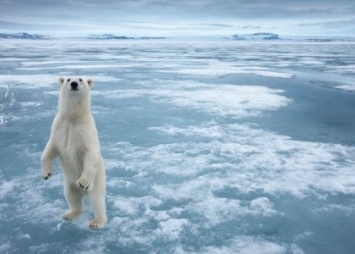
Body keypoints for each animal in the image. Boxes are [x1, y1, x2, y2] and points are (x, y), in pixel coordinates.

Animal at [40, 77, 107, 228]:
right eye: (68, 79)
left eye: (81, 79)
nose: (74, 84)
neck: (73, 117)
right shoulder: (59, 127)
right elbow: (51, 148)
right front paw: (46, 174)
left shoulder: (85, 131)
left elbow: (90, 152)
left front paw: (82, 182)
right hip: (69, 183)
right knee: (71, 196)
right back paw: (69, 214)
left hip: (97, 180)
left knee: (96, 200)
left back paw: (96, 221)